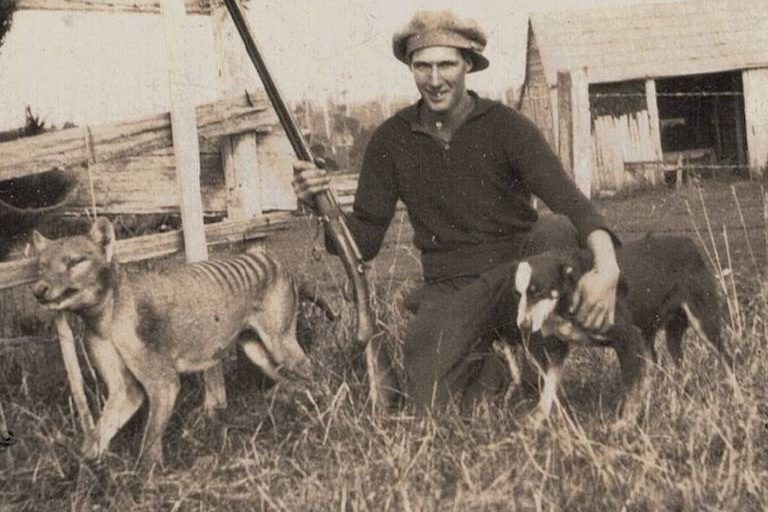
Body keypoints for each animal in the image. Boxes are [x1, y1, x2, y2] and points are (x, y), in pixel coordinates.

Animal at [508, 235, 728, 424]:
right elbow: (548, 386)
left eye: (538, 291)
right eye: (518, 294)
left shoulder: (628, 339)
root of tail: (689, 242)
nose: (523, 326)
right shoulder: (557, 349)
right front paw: (538, 417)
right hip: (654, 333)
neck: (570, 292)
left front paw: (624, 423)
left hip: (704, 323)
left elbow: (629, 389)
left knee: (726, 357)